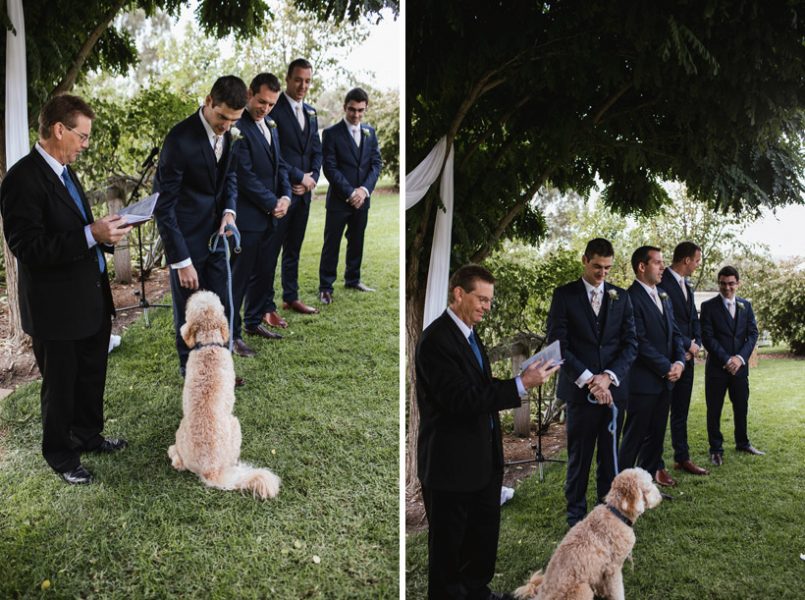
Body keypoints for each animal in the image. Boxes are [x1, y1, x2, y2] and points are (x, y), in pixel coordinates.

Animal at [516, 468, 660, 600]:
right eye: (649, 486)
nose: (661, 496)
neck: (617, 514)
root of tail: (541, 595)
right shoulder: (613, 569)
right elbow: (617, 592)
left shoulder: (601, 570)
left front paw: (603, 593)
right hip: (583, 590)